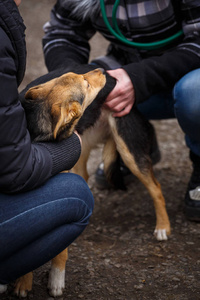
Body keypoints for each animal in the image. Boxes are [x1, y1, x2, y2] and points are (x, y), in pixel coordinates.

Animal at [13, 64, 170, 296]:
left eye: (80, 77)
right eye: (85, 83)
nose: (103, 70)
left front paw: (56, 278)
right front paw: (23, 280)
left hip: (128, 149)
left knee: (156, 188)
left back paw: (163, 227)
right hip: (82, 149)